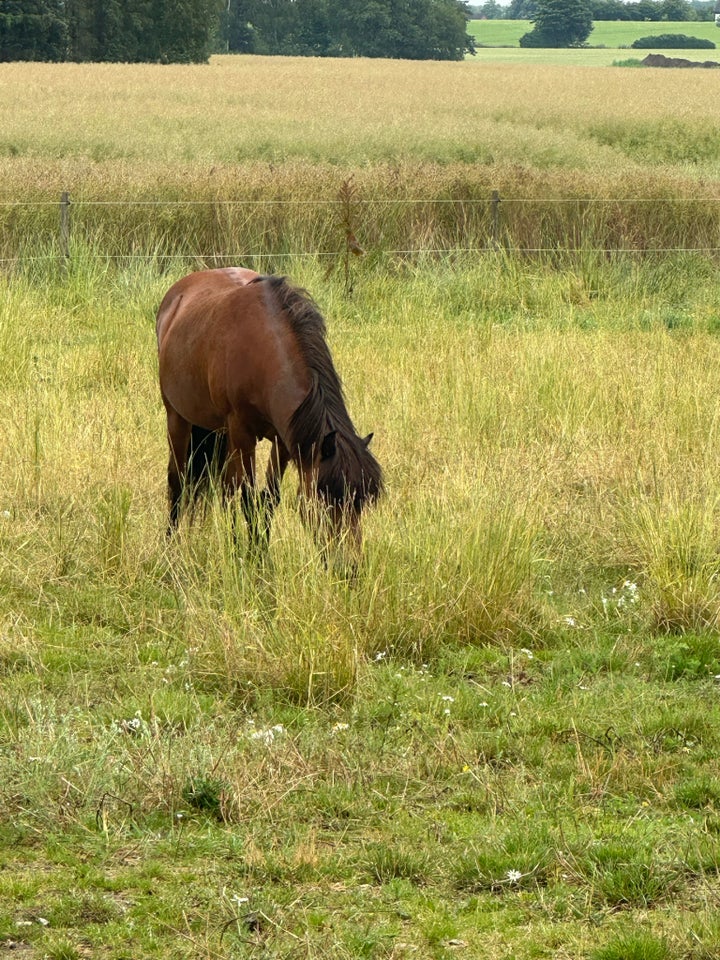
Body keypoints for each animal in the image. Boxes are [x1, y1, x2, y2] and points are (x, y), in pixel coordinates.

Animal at [155, 266, 386, 560]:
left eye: (360, 504)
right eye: (326, 500)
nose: (349, 565)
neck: (262, 348)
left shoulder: (284, 438)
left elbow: (269, 498)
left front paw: (259, 553)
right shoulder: (242, 433)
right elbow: (247, 498)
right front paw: (253, 559)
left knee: (225, 489)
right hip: (178, 418)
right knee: (179, 482)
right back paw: (171, 548)